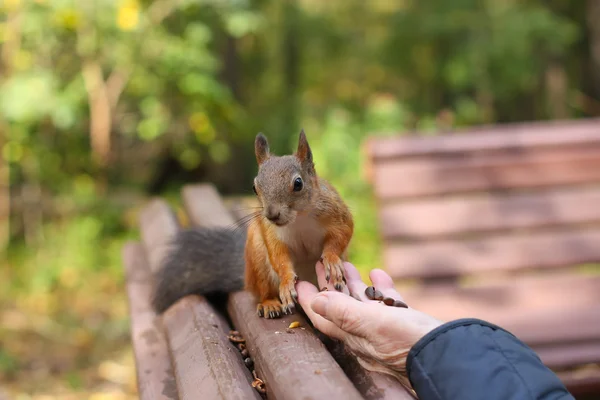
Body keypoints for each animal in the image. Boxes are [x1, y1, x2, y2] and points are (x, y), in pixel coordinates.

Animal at [152, 130, 354, 318]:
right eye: (254, 188)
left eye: (298, 183)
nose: (271, 214)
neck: (299, 219)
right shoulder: (271, 232)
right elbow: (278, 256)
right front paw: (286, 281)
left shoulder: (337, 213)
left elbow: (342, 235)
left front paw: (331, 260)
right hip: (257, 259)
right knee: (263, 290)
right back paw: (269, 303)